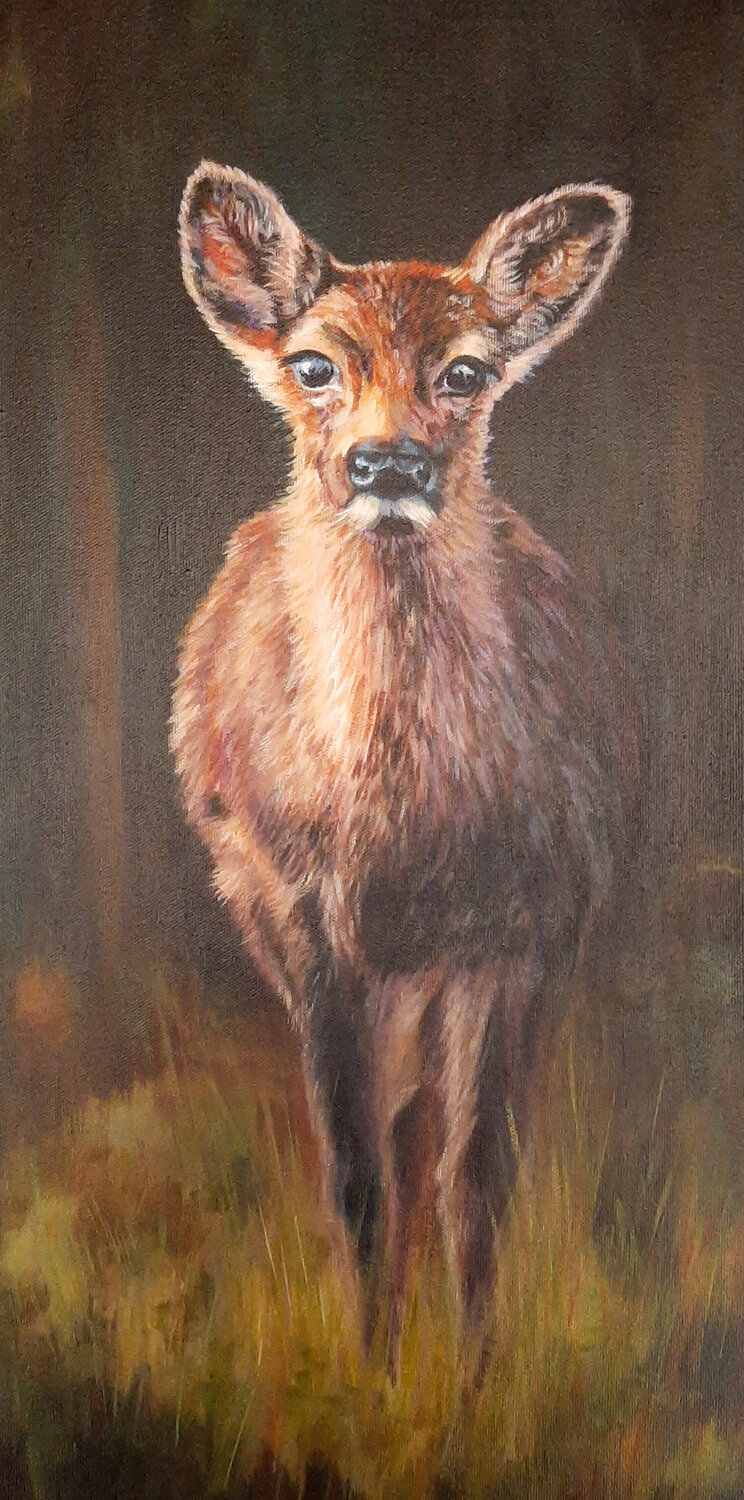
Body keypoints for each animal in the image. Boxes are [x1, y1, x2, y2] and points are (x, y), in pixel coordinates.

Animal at [171, 160, 634, 1375]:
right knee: (389, 1141)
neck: (404, 826)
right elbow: (356, 1180)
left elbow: (479, 1182)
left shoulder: (531, 926)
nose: (388, 461)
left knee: (431, 1135)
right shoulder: (305, 924)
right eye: (314, 364)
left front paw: (472, 1386)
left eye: (465, 369)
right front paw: (372, 1382)